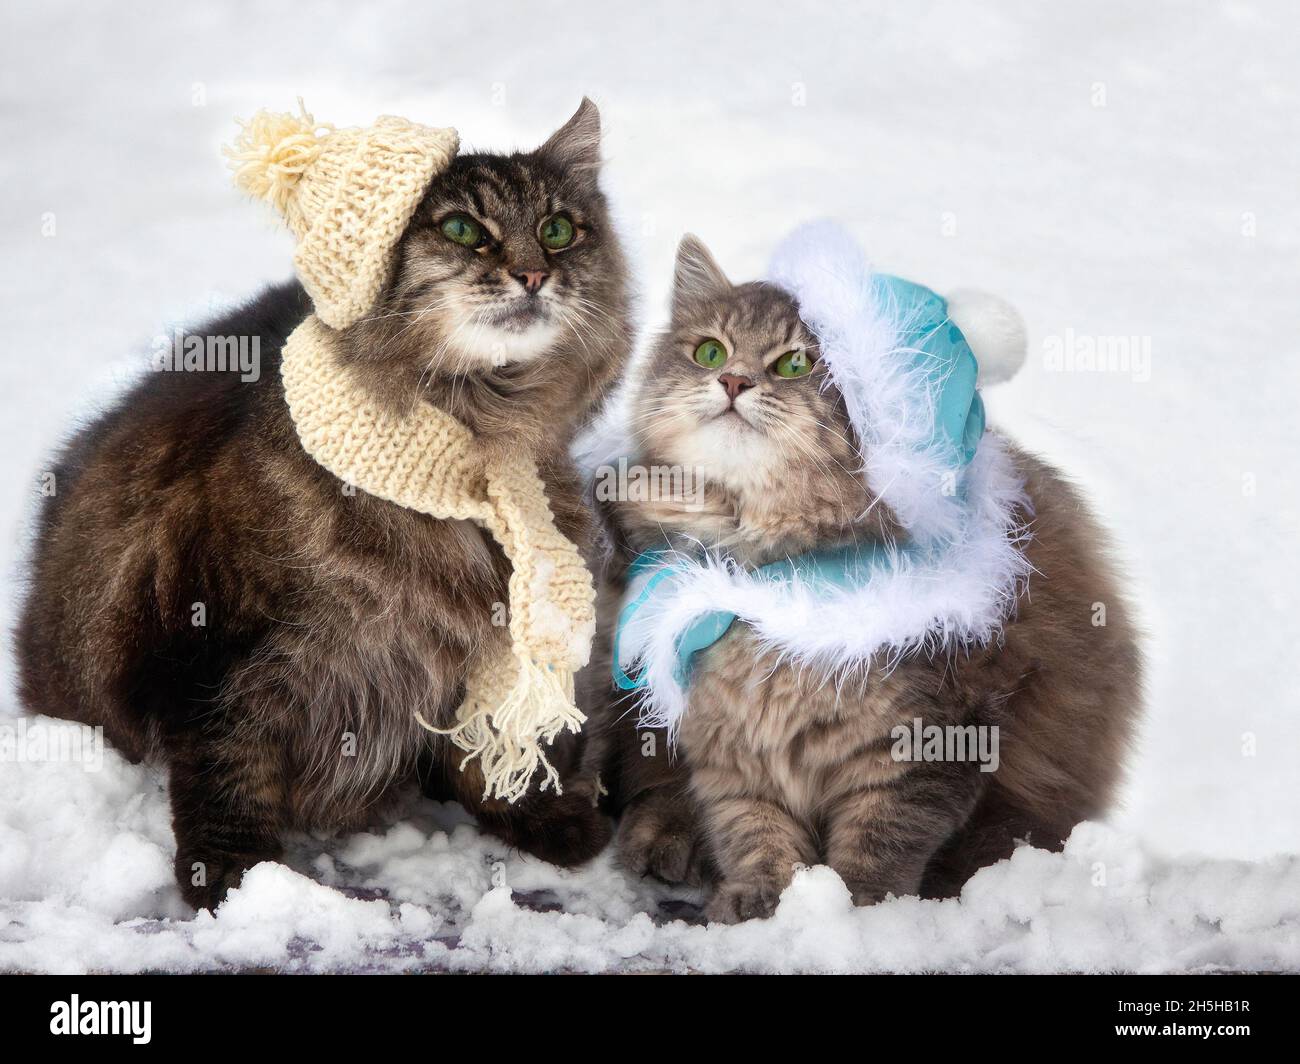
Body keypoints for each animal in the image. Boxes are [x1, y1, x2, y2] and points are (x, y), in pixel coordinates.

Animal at [16, 99, 634, 910]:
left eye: (559, 229)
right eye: (462, 228)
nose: (534, 272)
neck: (478, 431)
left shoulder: (474, 649)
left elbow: (495, 749)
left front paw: (548, 824)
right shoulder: (214, 639)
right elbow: (228, 771)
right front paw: (235, 884)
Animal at [595, 234, 1144, 920]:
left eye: (795, 364)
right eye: (709, 352)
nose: (732, 380)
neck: (762, 561)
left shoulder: (926, 739)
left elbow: (881, 838)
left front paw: (854, 908)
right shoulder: (730, 746)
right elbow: (753, 830)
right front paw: (765, 898)